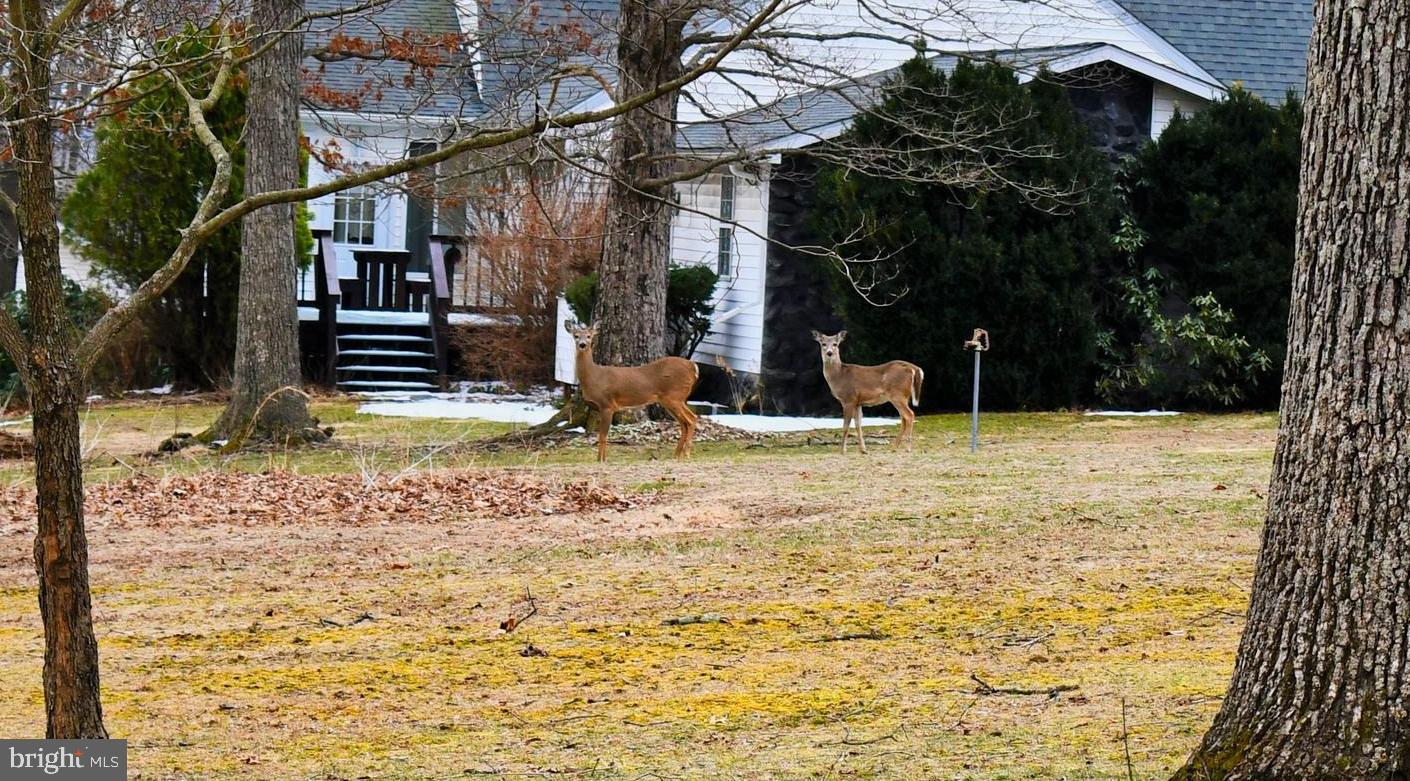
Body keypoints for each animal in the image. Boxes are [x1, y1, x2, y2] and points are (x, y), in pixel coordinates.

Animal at [565, 322, 700, 462]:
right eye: (576, 336)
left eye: (589, 336)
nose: (582, 344)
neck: (594, 376)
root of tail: (693, 366)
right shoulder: (599, 408)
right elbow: (601, 436)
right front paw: (600, 459)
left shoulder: (607, 404)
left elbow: (603, 436)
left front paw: (602, 460)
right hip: (672, 399)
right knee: (685, 422)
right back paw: (677, 455)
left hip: (674, 396)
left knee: (691, 419)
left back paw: (686, 454)